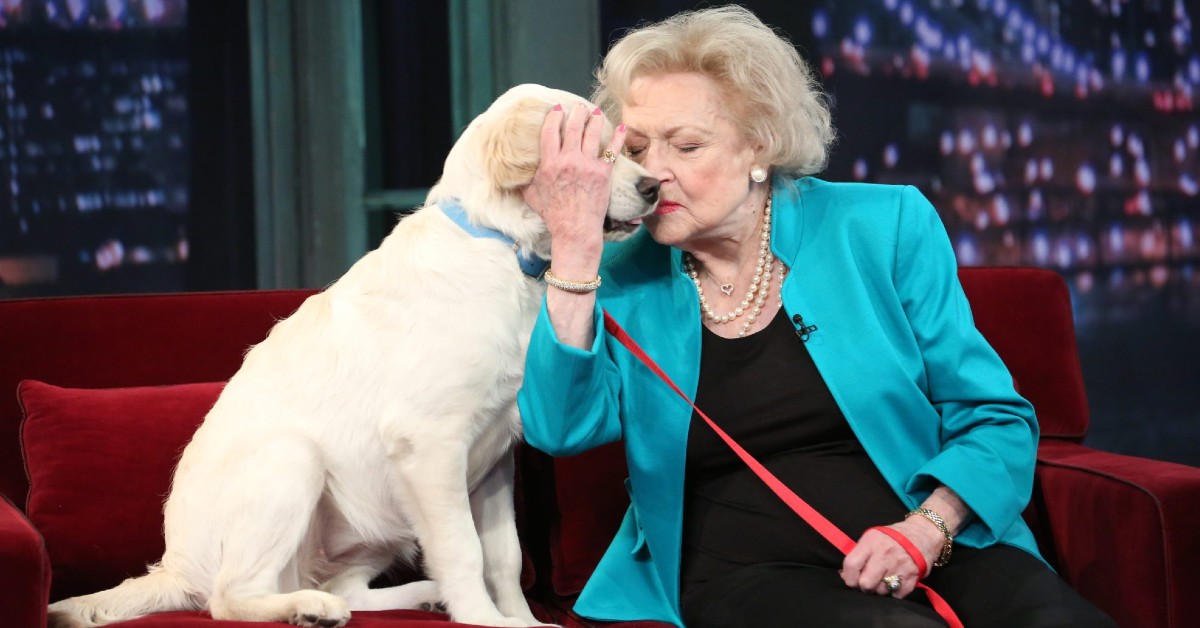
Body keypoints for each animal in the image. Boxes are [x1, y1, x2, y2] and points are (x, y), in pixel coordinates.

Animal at [46, 84, 662, 628]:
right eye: (598, 152)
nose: (655, 186)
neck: (500, 246)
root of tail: (174, 567)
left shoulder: (493, 458)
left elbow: (504, 557)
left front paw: (523, 620)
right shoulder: (428, 445)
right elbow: (464, 549)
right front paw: (486, 621)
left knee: (341, 585)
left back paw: (415, 594)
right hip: (293, 461)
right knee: (232, 597)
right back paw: (309, 609)